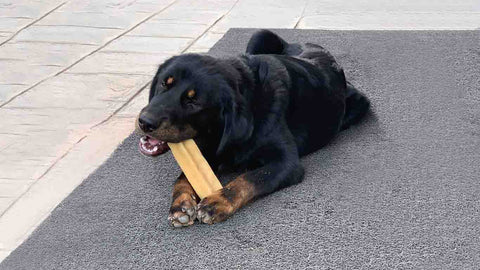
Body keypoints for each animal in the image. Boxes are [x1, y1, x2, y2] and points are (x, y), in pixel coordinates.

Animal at [137, 29, 370, 227]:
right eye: (164, 84)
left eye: (193, 101)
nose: (144, 121)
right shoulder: (205, 152)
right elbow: (183, 178)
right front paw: (181, 203)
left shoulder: (286, 163)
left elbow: (250, 178)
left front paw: (219, 201)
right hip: (260, 34)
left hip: (361, 103)